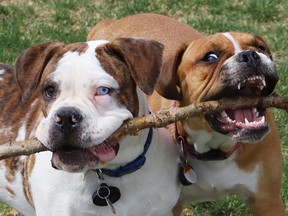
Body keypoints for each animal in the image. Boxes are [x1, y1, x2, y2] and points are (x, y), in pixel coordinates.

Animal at [88, 13, 286, 214]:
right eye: (210, 57)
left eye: (260, 47)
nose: (250, 55)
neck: (215, 149)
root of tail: (111, 22)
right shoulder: (172, 206)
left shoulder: (267, 202)